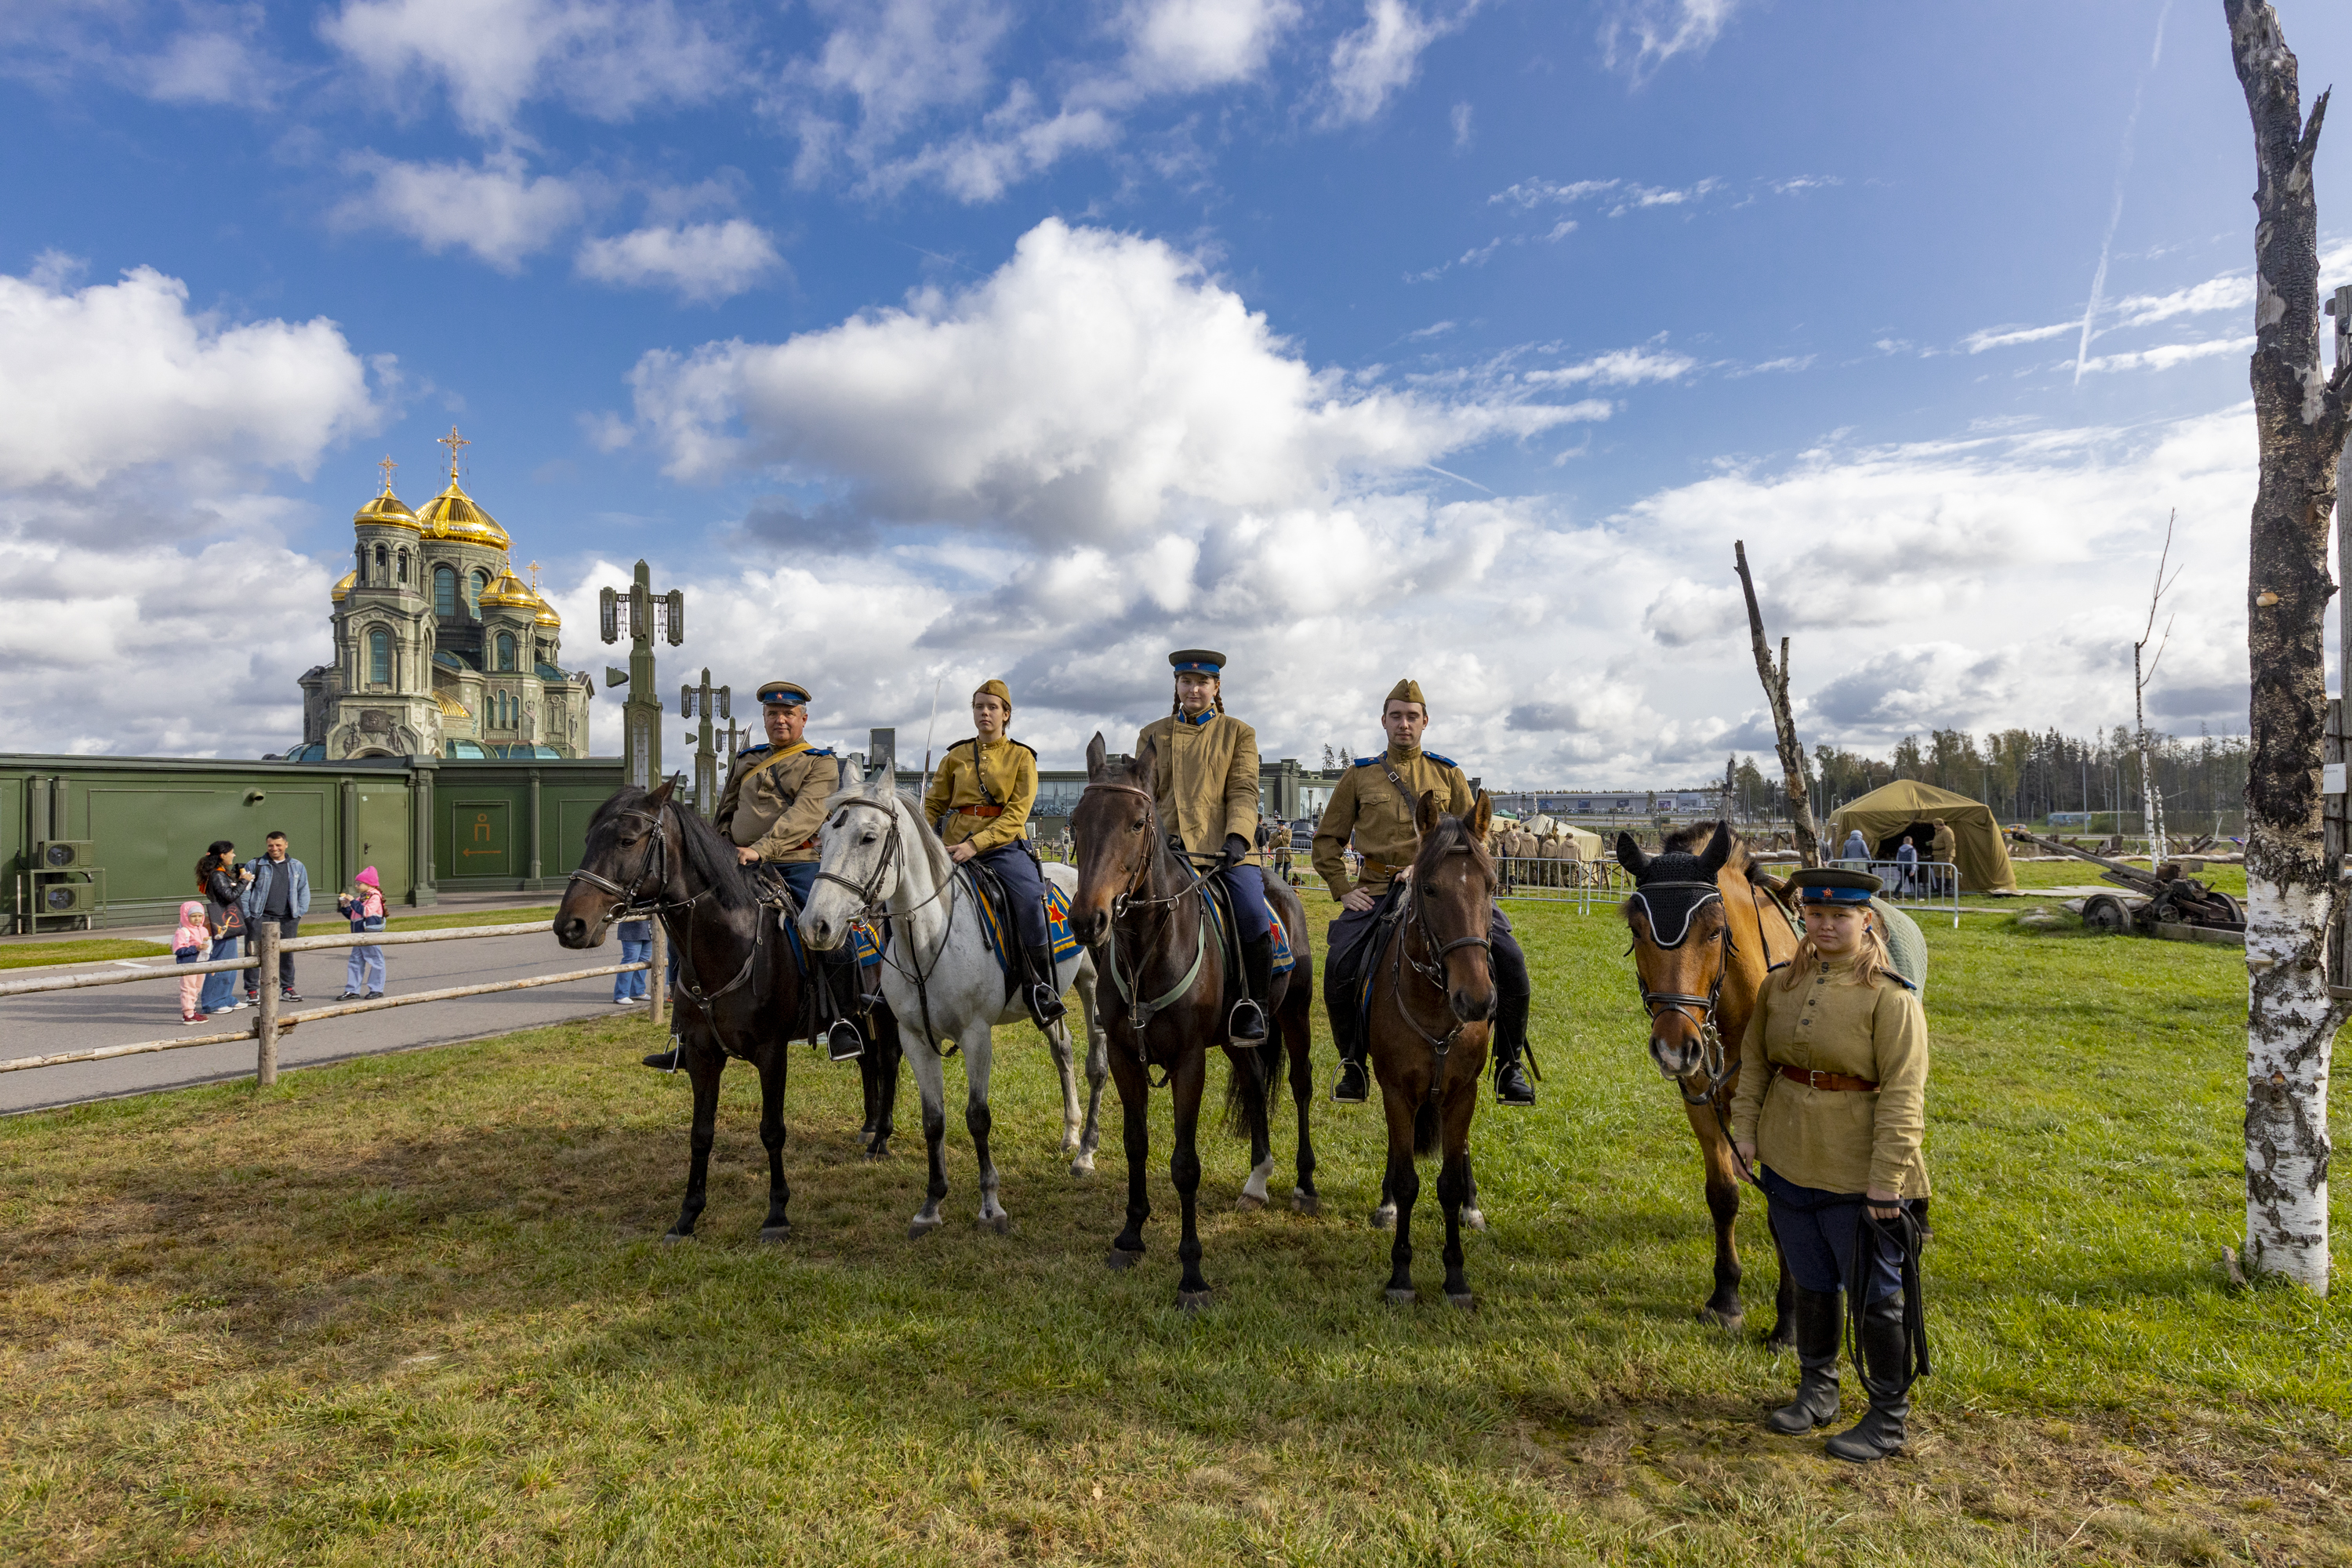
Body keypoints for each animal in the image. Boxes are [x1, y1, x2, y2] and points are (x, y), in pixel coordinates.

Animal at [555, 780, 903, 1241]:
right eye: (589, 839)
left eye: (627, 840)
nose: (569, 926)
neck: (731, 941)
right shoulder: (702, 1056)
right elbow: (701, 1134)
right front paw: (687, 1215)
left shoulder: (772, 1053)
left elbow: (772, 1130)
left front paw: (776, 1214)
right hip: (856, 1013)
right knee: (867, 1057)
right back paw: (868, 1128)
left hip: (885, 1010)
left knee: (888, 1059)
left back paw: (881, 1139)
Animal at [800, 766, 1110, 1241]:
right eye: (822, 837)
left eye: (868, 837)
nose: (814, 925)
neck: (929, 940)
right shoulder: (914, 1040)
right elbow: (934, 1120)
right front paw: (931, 1205)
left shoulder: (976, 1036)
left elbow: (977, 1116)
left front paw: (991, 1206)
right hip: (1049, 1003)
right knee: (1065, 1050)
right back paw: (1071, 1135)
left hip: (1093, 987)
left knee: (1096, 1063)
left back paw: (1086, 1153)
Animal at [1073, 738, 1327, 1316]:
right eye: (1075, 821)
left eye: (1138, 822)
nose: (1087, 920)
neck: (1149, 951)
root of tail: (1281, 882)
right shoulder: (1125, 1056)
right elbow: (1136, 1144)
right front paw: (1130, 1237)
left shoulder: (1190, 1061)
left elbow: (1185, 1164)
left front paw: (1191, 1273)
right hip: (1236, 1039)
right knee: (1254, 1082)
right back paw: (1257, 1180)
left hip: (1294, 1015)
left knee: (1299, 1085)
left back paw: (1304, 1184)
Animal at [1355, 785, 1496, 1316]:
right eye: (1430, 889)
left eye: (1491, 885)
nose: (1476, 999)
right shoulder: (1397, 1091)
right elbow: (1408, 1179)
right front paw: (1400, 1275)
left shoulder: (1462, 1094)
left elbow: (1450, 1183)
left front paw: (1456, 1277)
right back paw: (1386, 1204)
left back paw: (1474, 1208)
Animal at [1618, 822, 1797, 1354]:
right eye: (1637, 931)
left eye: (1716, 931)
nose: (1674, 1046)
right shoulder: (1701, 1098)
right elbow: (1723, 1195)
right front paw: (1726, 1299)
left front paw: (1788, 1322)